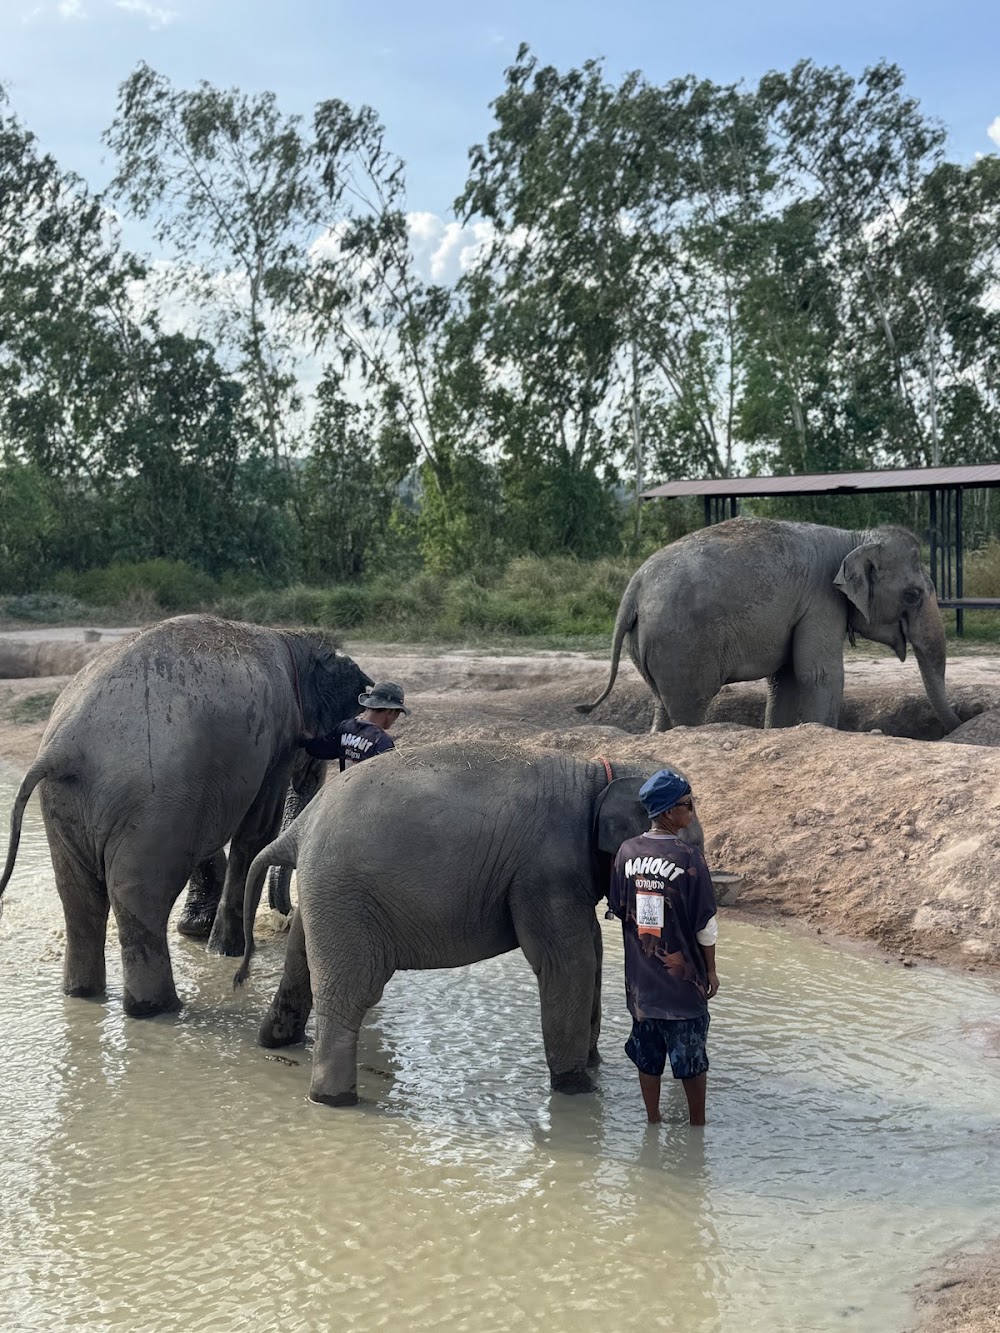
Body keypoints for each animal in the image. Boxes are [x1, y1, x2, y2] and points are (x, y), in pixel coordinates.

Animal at [0, 615, 373, 1018]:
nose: (286, 918)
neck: (292, 638)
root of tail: (63, 746)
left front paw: (199, 934)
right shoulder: (279, 738)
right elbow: (256, 831)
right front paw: (224, 950)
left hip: (65, 805)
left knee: (78, 896)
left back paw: (82, 994)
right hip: (150, 804)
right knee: (138, 895)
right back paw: (156, 1009)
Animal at [234, 746, 704, 1109]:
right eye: (690, 847)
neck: (595, 773)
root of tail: (299, 829)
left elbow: (592, 952)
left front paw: (593, 1066)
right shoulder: (546, 871)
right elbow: (567, 964)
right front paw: (577, 1088)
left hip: (325, 893)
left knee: (299, 963)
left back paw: (274, 1045)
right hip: (344, 896)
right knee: (350, 992)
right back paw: (334, 1101)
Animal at [578, 514, 965, 735]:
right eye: (913, 595)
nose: (958, 725)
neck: (852, 538)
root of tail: (634, 589)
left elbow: (787, 679)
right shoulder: (822, 600)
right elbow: (819, 674)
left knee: (662, 703)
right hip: (682, 646)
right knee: (690, 704)